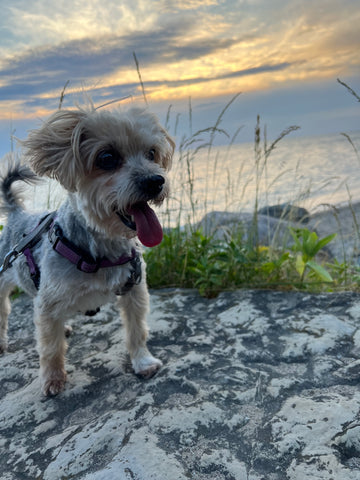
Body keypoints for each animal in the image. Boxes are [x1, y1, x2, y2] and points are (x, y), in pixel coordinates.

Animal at [0, 107, 175, 396]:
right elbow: (50, 347)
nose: (155, 181)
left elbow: (136, 330)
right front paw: (53, 379)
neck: (102, 248)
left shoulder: (135, 290)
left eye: (151, 153)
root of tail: (16, 213)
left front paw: (143, 361)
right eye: (107, 158)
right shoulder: (48, 301)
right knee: (5, 313)